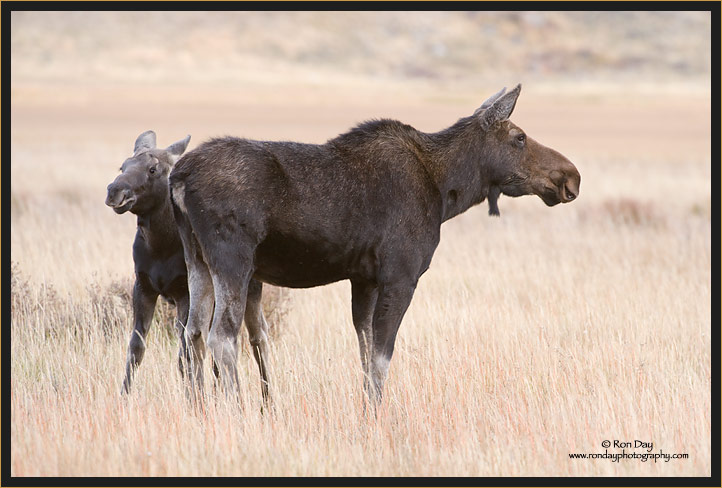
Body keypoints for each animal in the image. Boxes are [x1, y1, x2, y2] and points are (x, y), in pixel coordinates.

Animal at [169, 86, 580, 410]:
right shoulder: (401, 276)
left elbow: (366, 356)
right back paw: (236, 413)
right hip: (232, 259)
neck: (446, 189)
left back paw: (198, 412)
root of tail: (179, 177)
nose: (571, 176)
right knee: (221, 336)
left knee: (192, 335)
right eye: (519, 137)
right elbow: (382, 359)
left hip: (197, 259)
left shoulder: (363, 280)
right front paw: (375, 419)